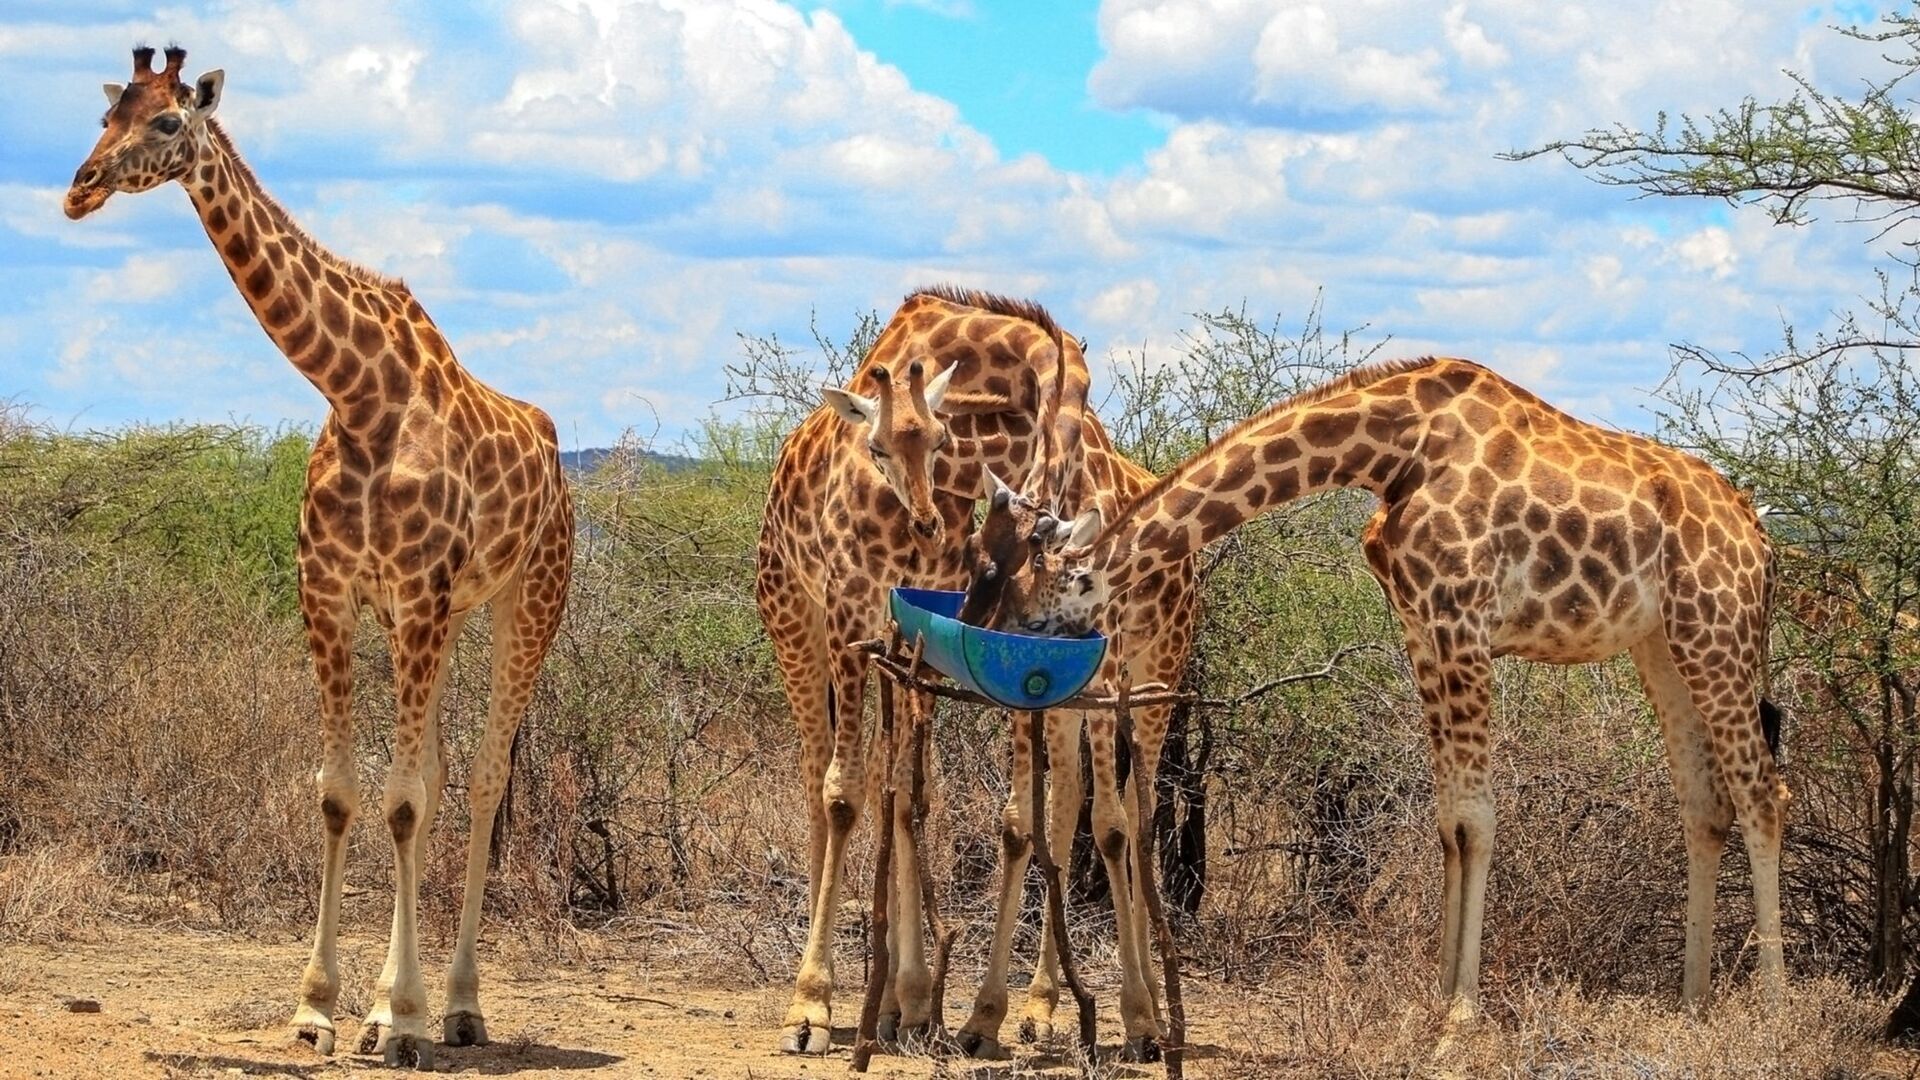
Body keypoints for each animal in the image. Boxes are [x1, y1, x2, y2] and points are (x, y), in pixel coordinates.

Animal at [65, 48, 574, 1067]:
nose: (80, 188)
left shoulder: (414, 596)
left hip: (526, 602)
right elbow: (343, 794)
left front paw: (404, 1018)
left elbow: (402, 802)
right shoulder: (334, 595)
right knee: (445, 775)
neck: (357, 390)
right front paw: (321, 1008)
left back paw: (460, 1008)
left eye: (168, 122)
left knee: (485, 780)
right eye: (107, 114)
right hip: (450, 616)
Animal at [755, 286, 1088, 1054]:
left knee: (895, 791)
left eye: (939, 443)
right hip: (793, 622)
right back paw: (826, 992)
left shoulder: (910, 633)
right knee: (817, 783)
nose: (933, 527)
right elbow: (843, 796)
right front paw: (810, 1008)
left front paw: (908, 1001)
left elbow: (911, 797)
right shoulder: (848, 611)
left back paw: (892, 1005)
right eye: (876, 446)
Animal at [977, 356, 1788, 1013]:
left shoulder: (1462, 622)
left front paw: (1459, 1021)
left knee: (1762, 792)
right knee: (1705, 805)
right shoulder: (1423, 628)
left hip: (1720, 629)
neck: (1393, 450)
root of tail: (1757, 530)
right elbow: (1450, 820)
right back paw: (1692, 1001)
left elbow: (1477, 817)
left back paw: (1773, 1008)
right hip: (1661, 644)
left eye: (1036, 618)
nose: (1011, 686)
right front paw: (1438, 998)